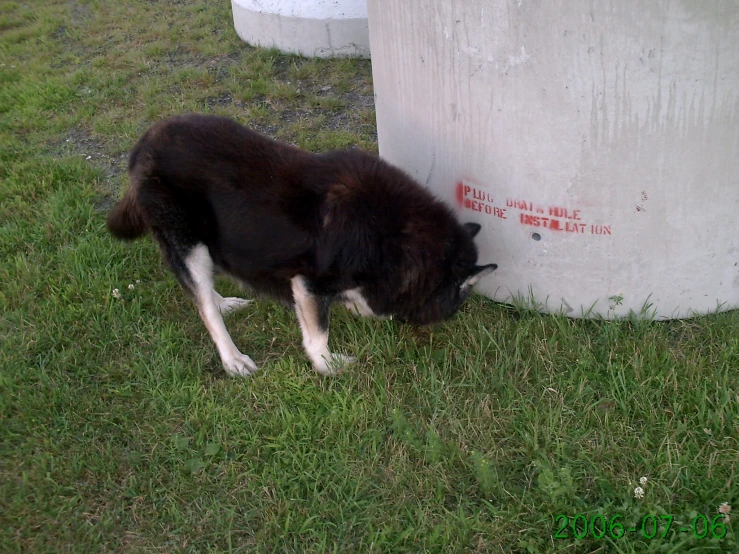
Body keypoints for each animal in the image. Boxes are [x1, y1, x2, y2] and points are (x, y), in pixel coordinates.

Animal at [105, 115, 498, 376]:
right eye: (460, 298)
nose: (454, 315)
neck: (395, 235)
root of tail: (145, 141)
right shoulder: (309, 283)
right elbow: (318, 334)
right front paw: (328, 365)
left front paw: (358, 308)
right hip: (188, 244)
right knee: (203, 307)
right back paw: (232, 357)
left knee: (202, 292)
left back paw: (223, 302)